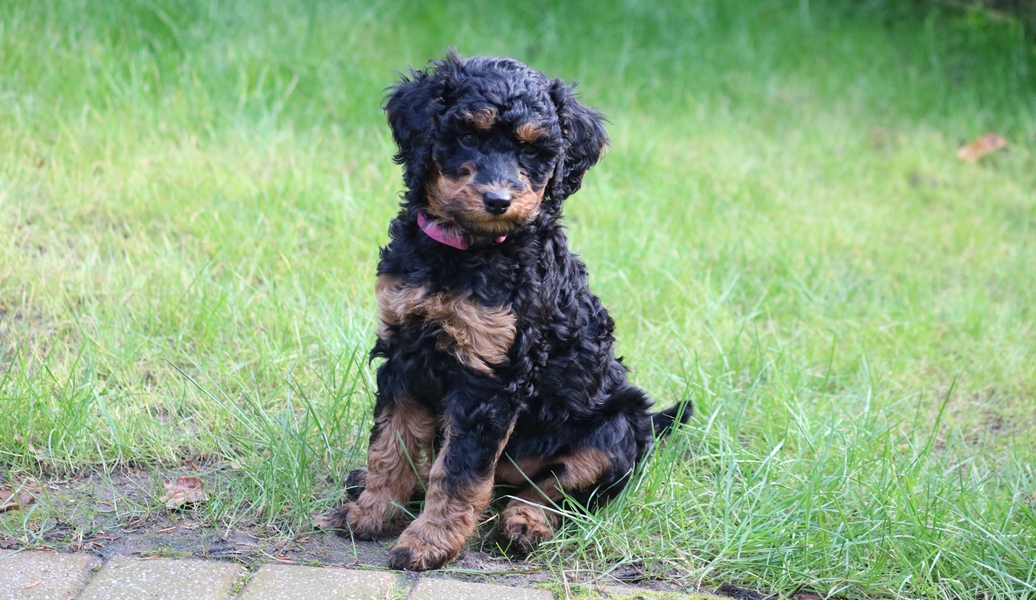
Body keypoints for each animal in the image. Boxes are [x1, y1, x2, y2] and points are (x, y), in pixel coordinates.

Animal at [315, 52, 690, 571]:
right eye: (469, 135)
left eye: (533, 151)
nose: (498, 200)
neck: (464, 252)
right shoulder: (405, 355)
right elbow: (390, 446)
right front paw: (372, 512)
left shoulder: (489, 378)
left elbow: (460, 471)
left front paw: (429, 541)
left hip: (614, 430)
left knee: (555, 492)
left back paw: (523, 524)